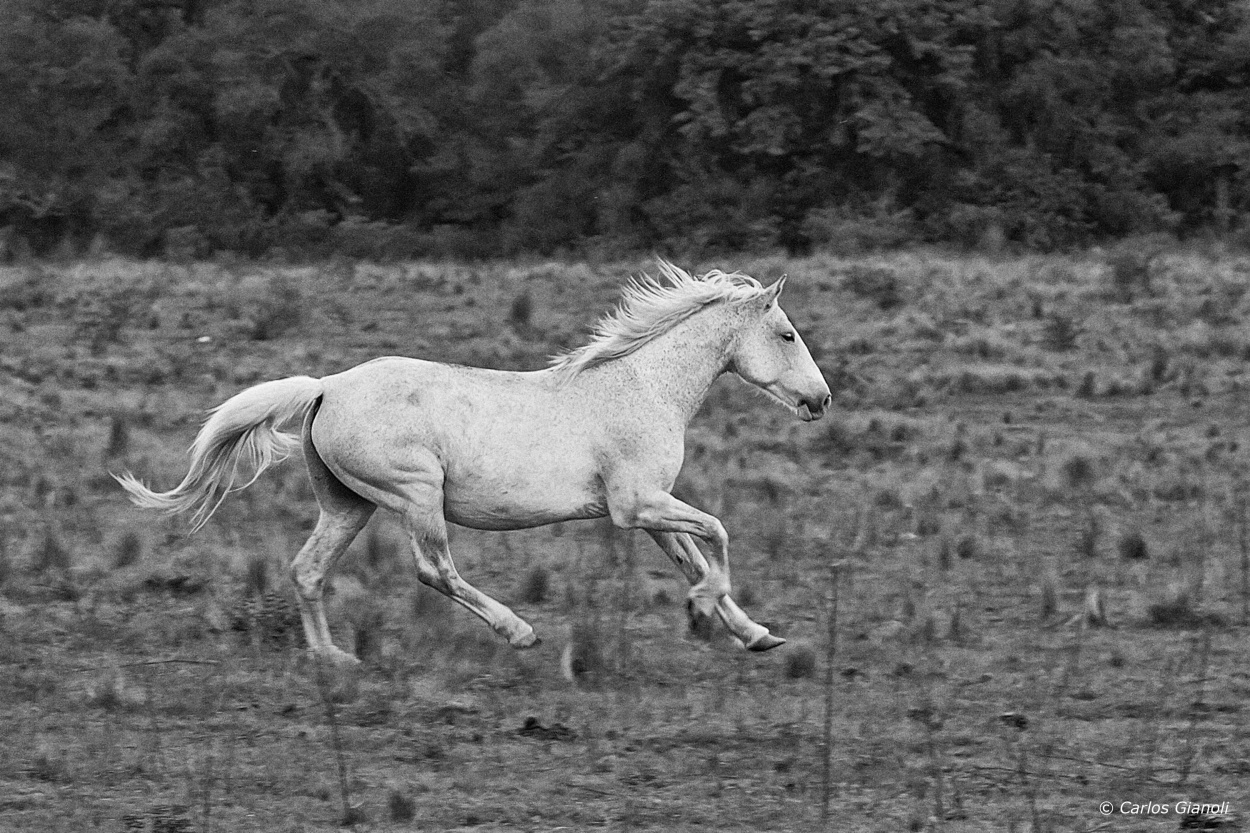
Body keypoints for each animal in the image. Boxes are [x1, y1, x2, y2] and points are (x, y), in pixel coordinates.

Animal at [119, 260, 830, 660]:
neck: (643, 387)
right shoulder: (637, 506)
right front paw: (708, 607)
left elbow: (694, 555)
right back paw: (518, 633)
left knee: (307, 571)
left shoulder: (649, 510)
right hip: (415, 494)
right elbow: (718, 534)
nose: (821, 400)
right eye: (787, 334)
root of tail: (325, 387)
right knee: (434, 570)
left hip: (347, 506)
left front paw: (755, 634)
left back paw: (332, 661)